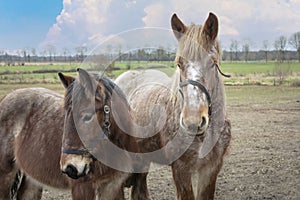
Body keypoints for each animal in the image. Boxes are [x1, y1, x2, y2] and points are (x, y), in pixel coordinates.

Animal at [0, 68, 138, 198]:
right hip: (5, 174)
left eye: (87, 116)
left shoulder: (113, 186)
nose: (70, 168)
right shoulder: (82, 187)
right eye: (65, 113)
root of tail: (7, 96)